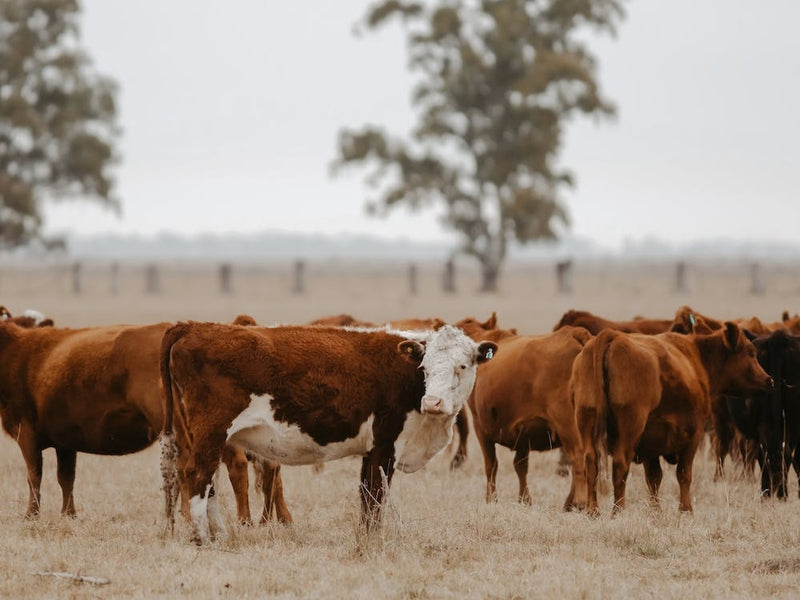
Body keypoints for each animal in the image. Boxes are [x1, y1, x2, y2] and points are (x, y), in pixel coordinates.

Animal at [0, 316, 289, 524]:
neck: (16, 352)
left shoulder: (26, 433)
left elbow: (34, 475)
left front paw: (31, 515)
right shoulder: (65, 441)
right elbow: (66, 478)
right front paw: (68, 515)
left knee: (193, 468)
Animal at [159, 323, 496, 544]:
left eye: (462, 366)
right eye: (424, 368)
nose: (432, 402)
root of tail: (193, 326)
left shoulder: (371, 451)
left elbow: (366, 496)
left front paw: (365, 537)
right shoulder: (385, 444)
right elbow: (376, 498)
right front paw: (373, 542)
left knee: (207, 482)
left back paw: (219, 534)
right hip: (211, 431)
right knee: (197, 475)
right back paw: (204, 539)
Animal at [572, 322, 773, 515]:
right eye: (751, 353)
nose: (769, 380)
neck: (697, 360)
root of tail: (611, 336)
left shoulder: (650, 444)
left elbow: (653, 477)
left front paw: (656, 511)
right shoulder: (693, 435)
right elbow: (684, 474)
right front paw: (685, 510)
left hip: (586, 418)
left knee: (591, 462)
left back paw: (593, 510)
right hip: (630, 426)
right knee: (620, 464)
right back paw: (618, 511)